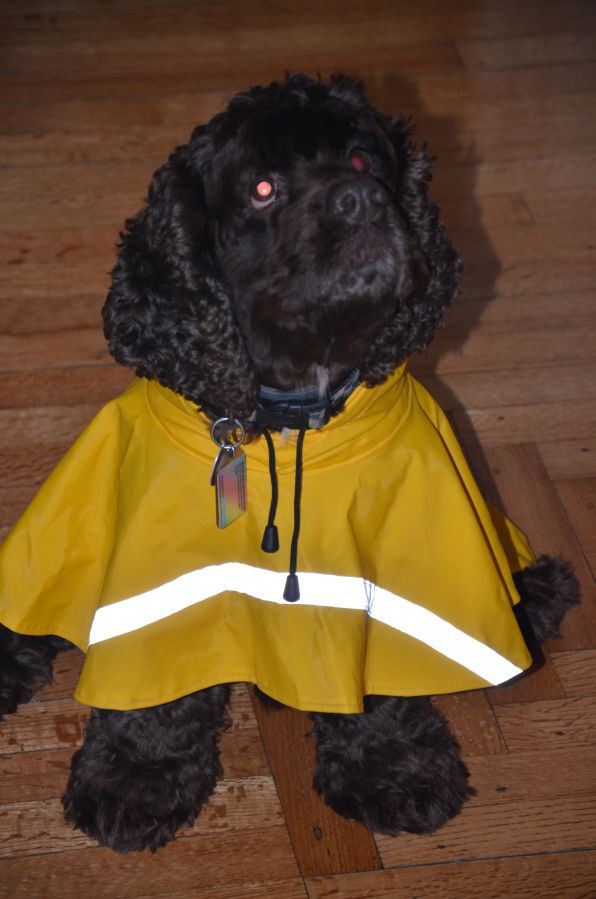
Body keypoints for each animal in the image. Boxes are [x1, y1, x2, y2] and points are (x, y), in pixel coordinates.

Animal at [0, 73, 580, 853]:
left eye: (364, 161)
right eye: (263, 188)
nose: (360, 199)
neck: (287, 419)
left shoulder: (386, 556)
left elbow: (380, 683)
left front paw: (390, 766)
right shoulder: (160, 569)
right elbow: (154, 691)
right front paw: (138, 775)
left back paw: (532, 594)